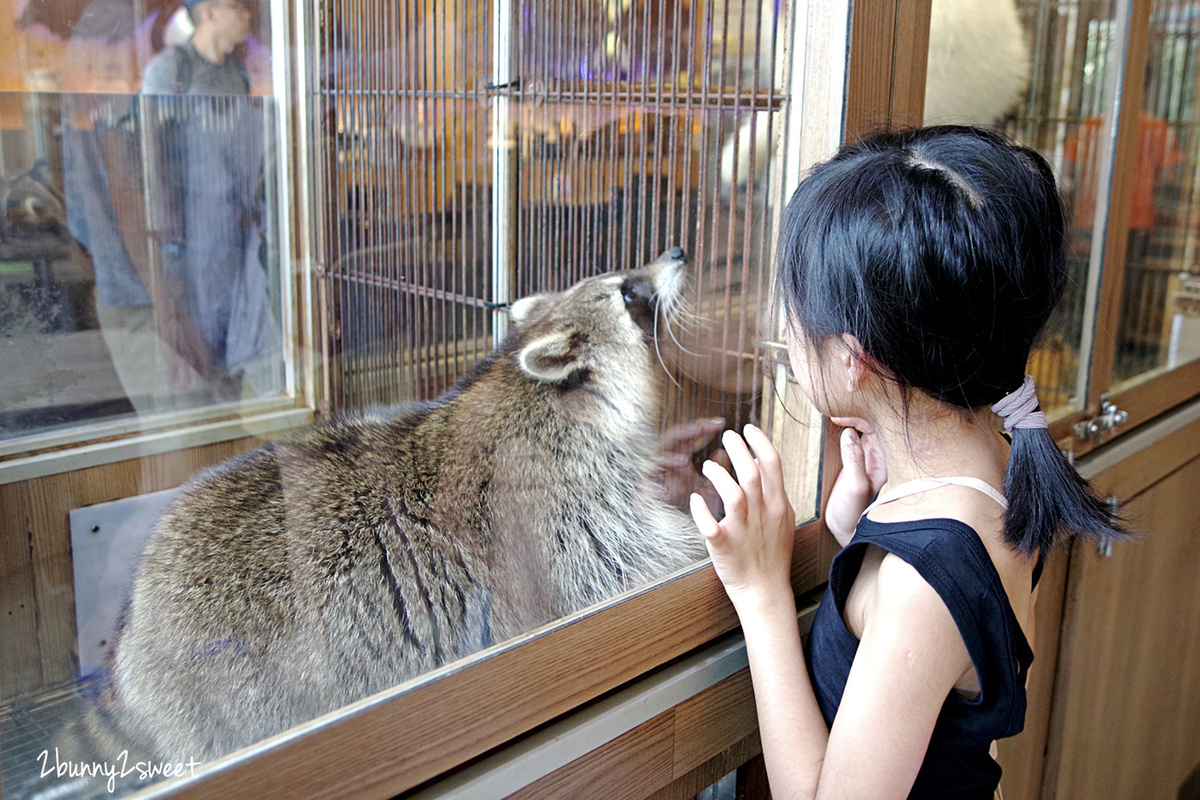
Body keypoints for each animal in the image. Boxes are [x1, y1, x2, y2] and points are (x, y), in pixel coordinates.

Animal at [100, 248, 710, 762]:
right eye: (629, 291)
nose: (678, 251)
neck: (539, 391)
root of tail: (133, 636)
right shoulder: (561, 504)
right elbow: (621, 568)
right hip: (230, 695)